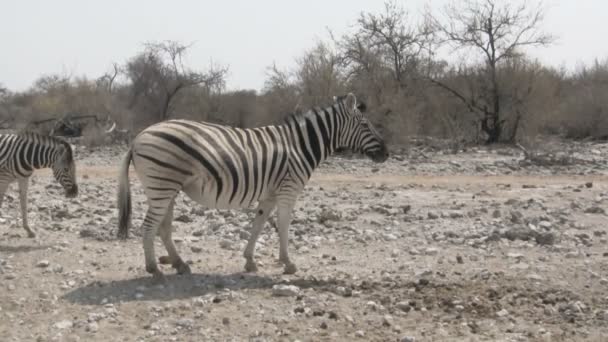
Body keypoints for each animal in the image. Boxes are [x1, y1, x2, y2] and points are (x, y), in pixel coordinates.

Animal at [116, 93, 388, 280]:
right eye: (366, 125)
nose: (386, 154)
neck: (300, 147)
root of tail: (138, 138)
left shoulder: (270, 194)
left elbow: (258, 223)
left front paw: (249, 261)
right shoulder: (288, 189)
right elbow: (284, 225)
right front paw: (288, 263)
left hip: (168, 189)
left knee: (163, 228)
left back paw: (179, 264)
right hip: (162, 186)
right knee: (148, 226)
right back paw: (154, 269)